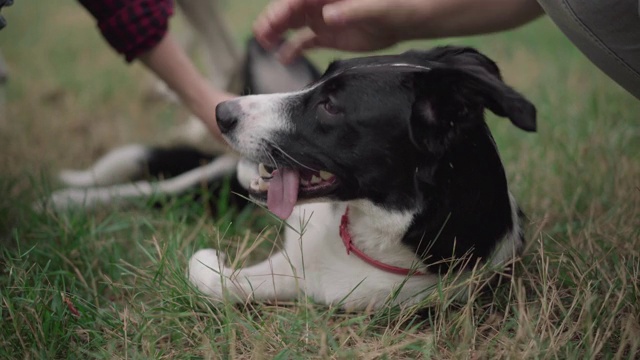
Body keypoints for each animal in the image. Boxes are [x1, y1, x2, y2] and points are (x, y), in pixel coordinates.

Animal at [189, 45, 536, 310]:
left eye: (329, 106)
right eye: (320, 80)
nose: (220, 113)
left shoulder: (308, 280)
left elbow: (206, 276)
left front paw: (212, 258)